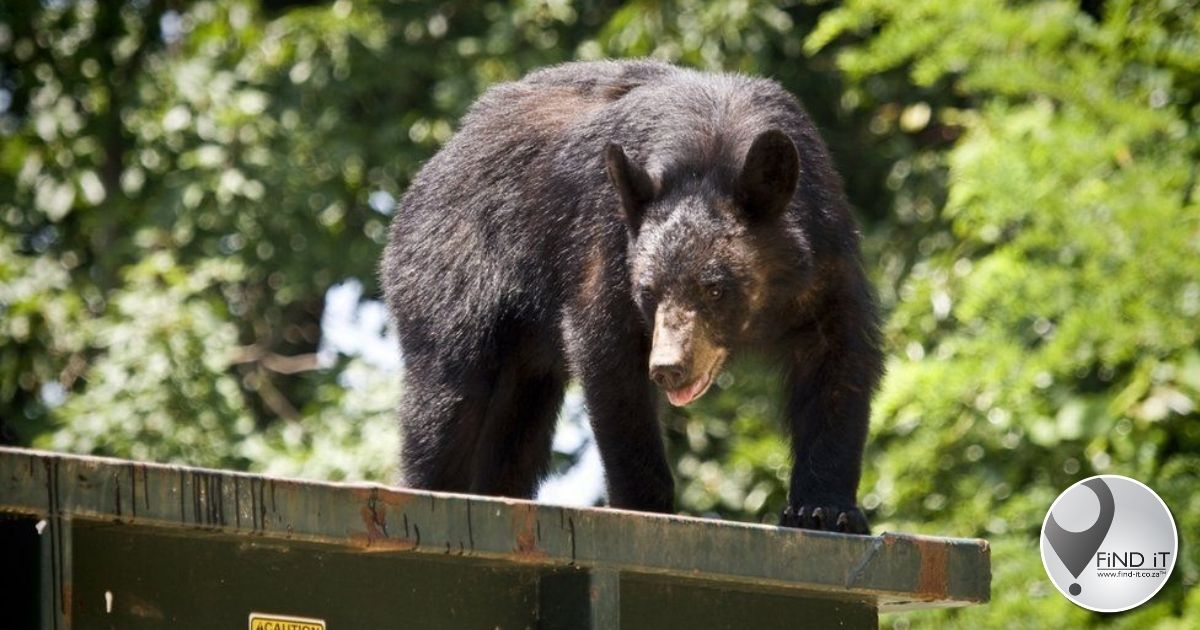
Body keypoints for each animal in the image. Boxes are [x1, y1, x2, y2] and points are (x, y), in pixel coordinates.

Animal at [381, 59, 882, 533]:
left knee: (516, 430)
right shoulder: (607, 243)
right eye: (647, 291)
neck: (714, 149)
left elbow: (838, 360)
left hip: (524, 356)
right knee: (449, 397)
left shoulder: (827, 253)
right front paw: (646, 503)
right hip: (451, 264)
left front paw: (825, 510)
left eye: (715, 287)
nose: (668, 367)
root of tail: (436, 162)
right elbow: (610, 358)